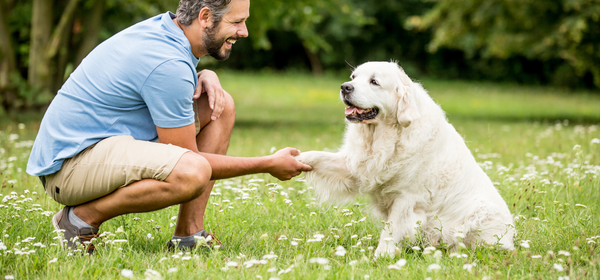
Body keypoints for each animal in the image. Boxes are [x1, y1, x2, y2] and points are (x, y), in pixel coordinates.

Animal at [292, 61, 512, 258]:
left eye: (374, 81)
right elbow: (316, 156)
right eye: (353, 77)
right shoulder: (355, 166)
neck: (385, 136)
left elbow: (391, 229)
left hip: (480, 213)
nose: (345, 87)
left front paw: (381, 256)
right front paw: (293, 158)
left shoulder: (407, 197)